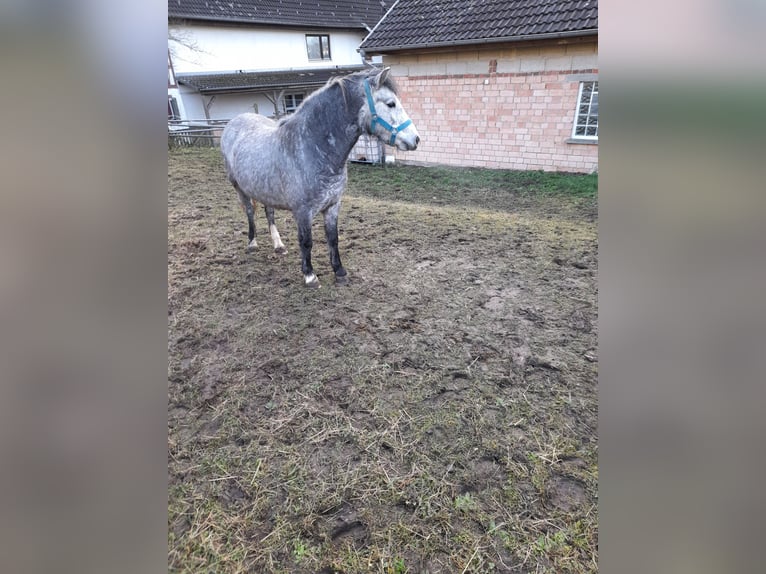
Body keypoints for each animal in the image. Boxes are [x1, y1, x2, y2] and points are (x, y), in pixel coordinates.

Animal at [220, 67, 420, 288]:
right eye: (391, 103)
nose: (416, 139)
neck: (312, 148)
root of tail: (234, 122)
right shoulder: (302, 212)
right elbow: (306, 241)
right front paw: (310, 276)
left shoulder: (333, 205)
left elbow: (333, 238)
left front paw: (340, 272)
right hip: (239, 187)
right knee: (249, 212)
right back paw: (252, 243)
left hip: (264, 189)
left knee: (269, 212)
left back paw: (278, 245)